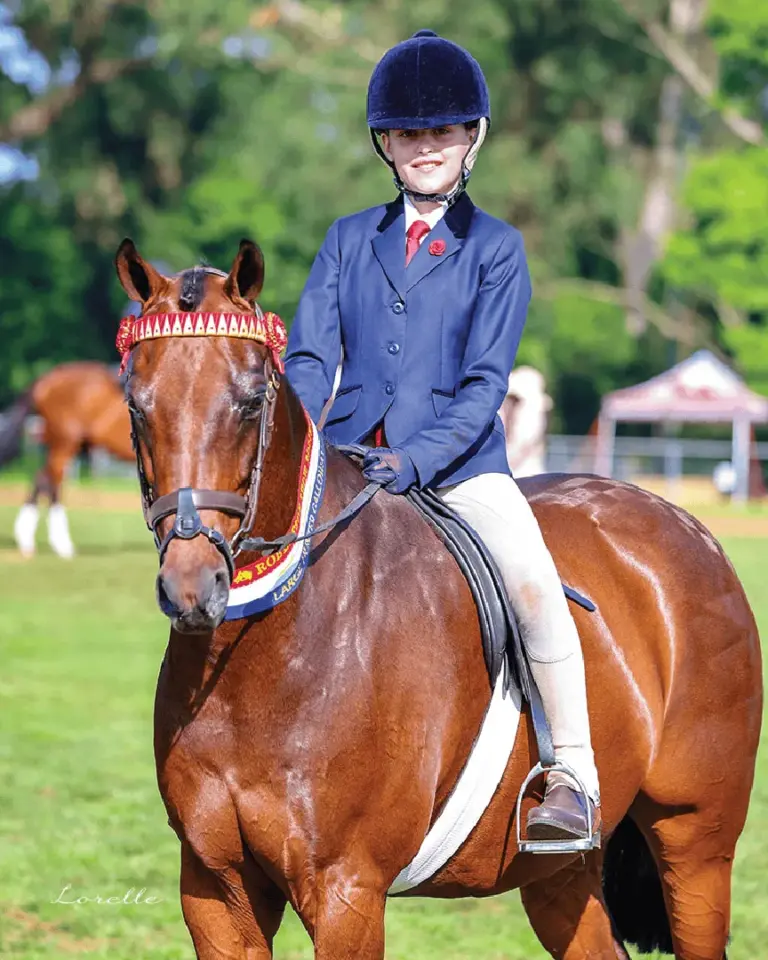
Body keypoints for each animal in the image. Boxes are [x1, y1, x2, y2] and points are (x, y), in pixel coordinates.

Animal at [0, 362, 133, 557]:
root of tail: (45, 380)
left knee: (41, 478)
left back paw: (26, 539)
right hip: (64, 443)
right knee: (53, 484)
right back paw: (62, 544)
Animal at [114, 236, 762, 960]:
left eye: (252, 401)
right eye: (136, 404)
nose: (191, 587)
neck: (267, 658)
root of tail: (687, 527)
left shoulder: (346, 890)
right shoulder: (214, 890)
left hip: (696, 842)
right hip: (558, 875)